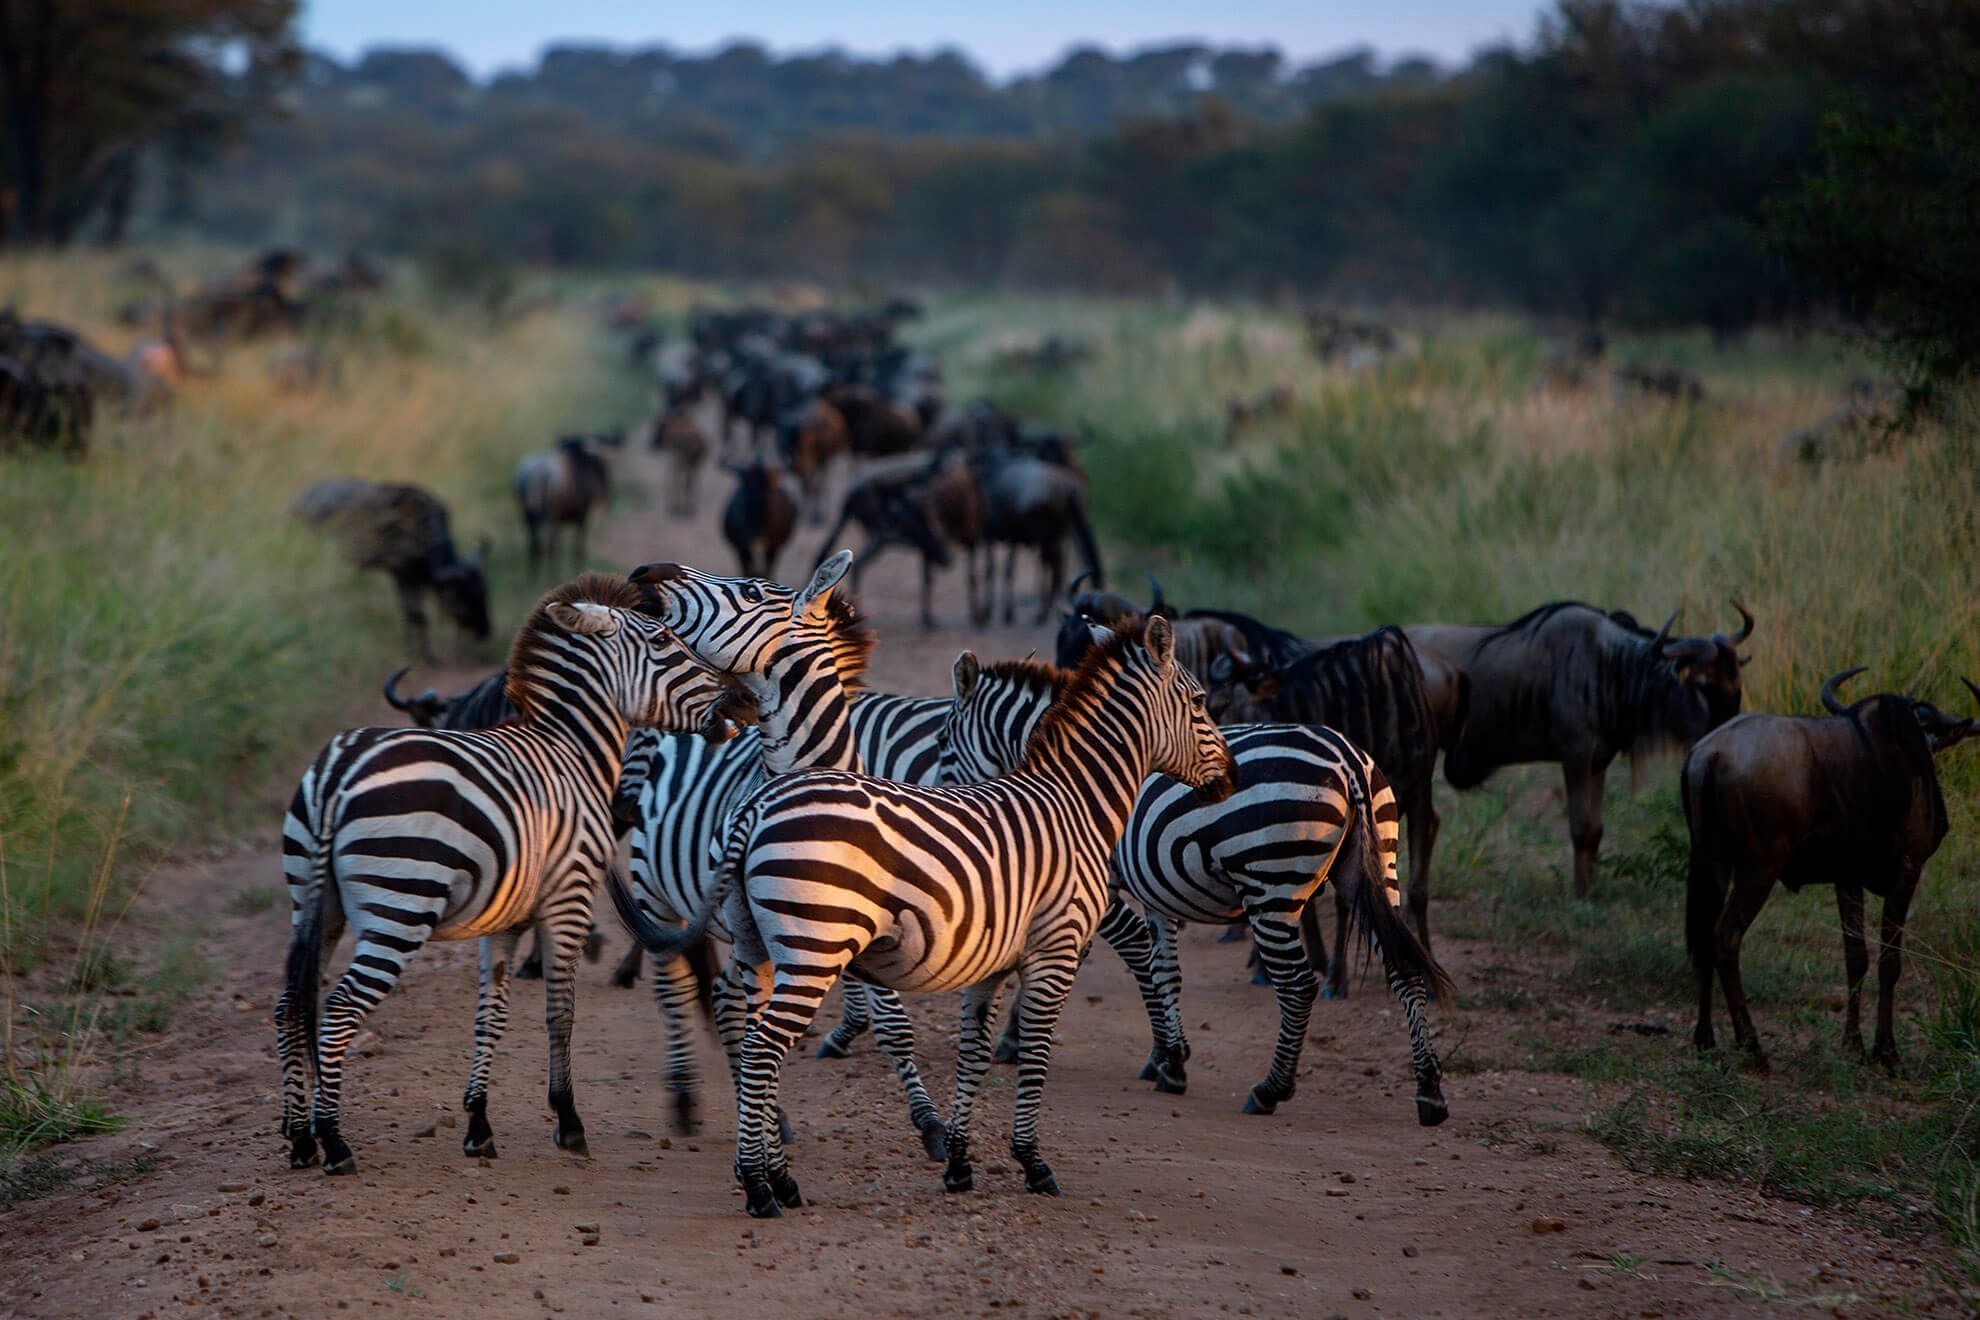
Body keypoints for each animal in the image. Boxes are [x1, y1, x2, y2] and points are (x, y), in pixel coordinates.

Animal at [279, 577, 736, 1179]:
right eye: (663, 641)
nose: (737, 699)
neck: (573, 750)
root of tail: (338, 772)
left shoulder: (503, 917)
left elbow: (489, 1016)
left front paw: (478, 1125)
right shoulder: (569, 900)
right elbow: (560, 1012)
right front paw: (569, 1123)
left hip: (314, 904)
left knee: (289, 1002)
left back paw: (298, 1138)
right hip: (401, 906)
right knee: (339, 1009)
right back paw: (333, 1141)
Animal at [617, 554, 950, 1155]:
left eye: (750, 591)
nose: (646, 571)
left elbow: (893, 1022)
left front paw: (931, 1125)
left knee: (722, 997)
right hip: (657, 895)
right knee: (675, 990)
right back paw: (687, 1100)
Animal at [617, 617, 1235, 1219]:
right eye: (1201, 701)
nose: (1229, 780)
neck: (1075, 805)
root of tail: (757, 804)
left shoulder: (993, 960)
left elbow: (973, 1052)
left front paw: (959, 1162)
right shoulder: (1054, 951)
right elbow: (1036, 1054)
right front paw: (1032, 1163)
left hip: (757, 947)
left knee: (748, 1040)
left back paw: (780, 1178)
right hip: (813, 946)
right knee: (762, 1048)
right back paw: (758, 1188)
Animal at [934, 660, 1465, 1124]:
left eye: (942, 741)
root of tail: (1348, 759)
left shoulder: (1098, 883)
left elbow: (1096, 958)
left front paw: (1015, 1037)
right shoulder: (1155, 889)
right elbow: (1163, 970)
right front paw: (1169, 1059)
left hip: (1271, 884)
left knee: (1297, 985)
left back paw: (1270, 1090)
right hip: (1375, 870)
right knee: (1404, 970)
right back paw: (1429, 1091)